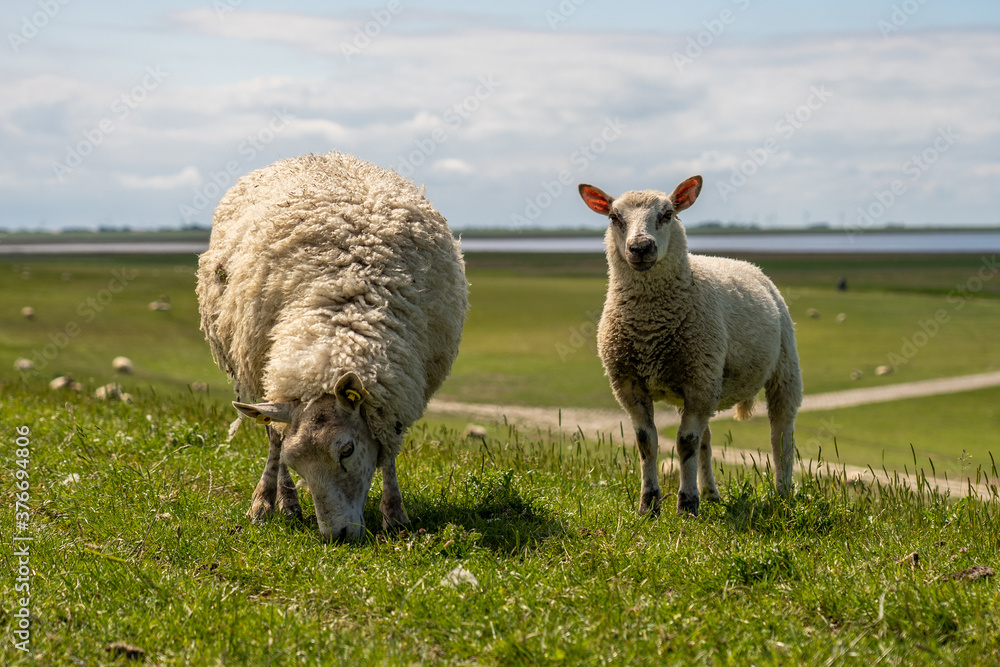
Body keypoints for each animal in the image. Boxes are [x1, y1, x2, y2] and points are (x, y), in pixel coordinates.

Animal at [196, 152, 468, 542]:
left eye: (347, 450)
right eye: (298, 463)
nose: (335, 536)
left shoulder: (395, 397)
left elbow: (389, 452)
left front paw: (395, 515)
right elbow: (277, 446)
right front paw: (268, 502)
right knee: (274, 436)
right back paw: (278, 502)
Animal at [578, 176, 803, 516]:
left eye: (668, 214)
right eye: (614, 218)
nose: (641, 247)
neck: (650, 324)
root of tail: (745, 264)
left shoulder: (698, 381)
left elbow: (685, 443)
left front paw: (686, 505)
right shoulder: (630, 383)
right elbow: (647, 441)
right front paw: (649, 504)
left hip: (783, 368)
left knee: (781, 434)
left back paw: (783, 493)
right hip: (706, 383)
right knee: (706, 440)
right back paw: (710, 493)